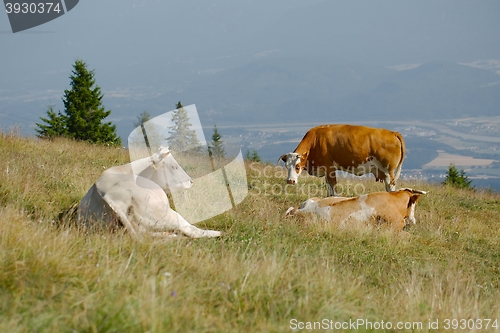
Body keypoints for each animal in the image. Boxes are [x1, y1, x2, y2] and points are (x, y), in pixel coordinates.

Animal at [76, 147, 221, 237]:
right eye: (174, 166)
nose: (191, 181)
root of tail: (112, 199)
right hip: (165, 213)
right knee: (191, 230)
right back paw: (217, 233)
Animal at [278, 125, 406, 197]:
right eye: (286, 166)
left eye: (297, 166)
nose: (290, 181)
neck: (315, 141)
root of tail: (393, 133)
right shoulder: (325, 170)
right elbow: (329, 188)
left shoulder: (330, 168)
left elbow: (334, 187)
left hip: (388, 171)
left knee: (391, 186)